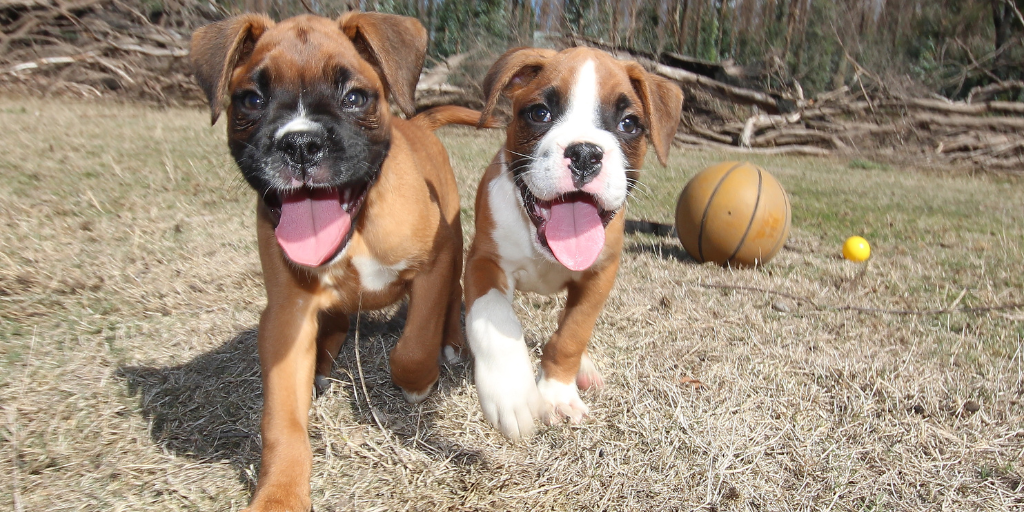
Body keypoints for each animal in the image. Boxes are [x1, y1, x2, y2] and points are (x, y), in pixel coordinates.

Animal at [191, 12, 471, 512]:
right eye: (252, 100)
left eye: (355, 97)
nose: (301, 143)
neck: (357, 226)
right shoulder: (287, 316)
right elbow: (282, 423)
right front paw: (279, 494)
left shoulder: (432, 269)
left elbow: (414, 346)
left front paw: (419, 383)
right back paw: (323, 362)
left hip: (453, 252)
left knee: (451, 301)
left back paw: (452, 344)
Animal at [464, 47, 679, 440]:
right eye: (539, 113)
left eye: (629, 124)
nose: (584, 154)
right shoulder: (484, 262)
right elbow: (494, 316)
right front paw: (510, 389)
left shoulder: (600, 275)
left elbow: (572, 334)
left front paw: (556, 393)